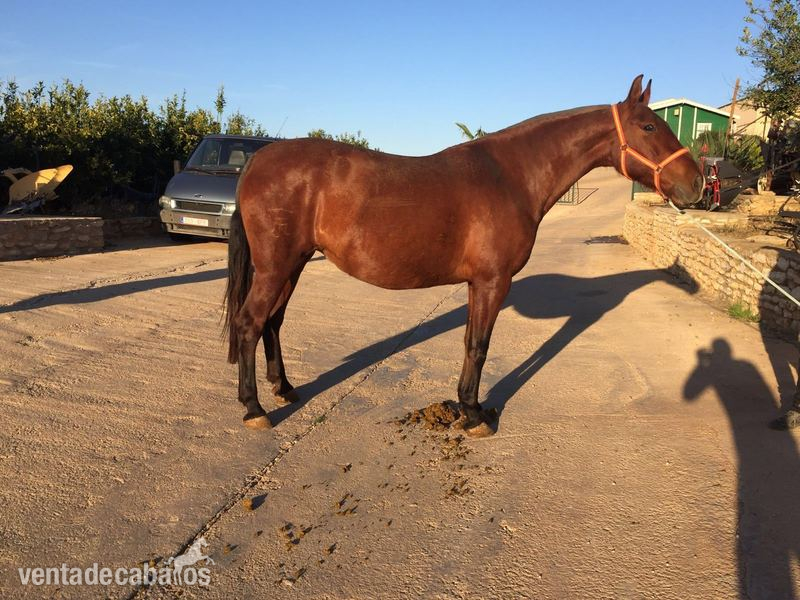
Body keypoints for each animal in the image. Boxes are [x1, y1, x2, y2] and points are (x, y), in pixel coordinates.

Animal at [224, 75, 703, 438]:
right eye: (648, 127)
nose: (697, 183)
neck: (510, 176)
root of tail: (256, 161)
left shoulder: (478, 283)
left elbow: (472, 342)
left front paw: (466, 406)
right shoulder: (493, 281)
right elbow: (479, 345)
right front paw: (474, 415)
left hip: (293, 263)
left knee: (272, 322)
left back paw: (284, 388)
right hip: (277, 266)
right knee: (250, 323)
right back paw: (254, 408)